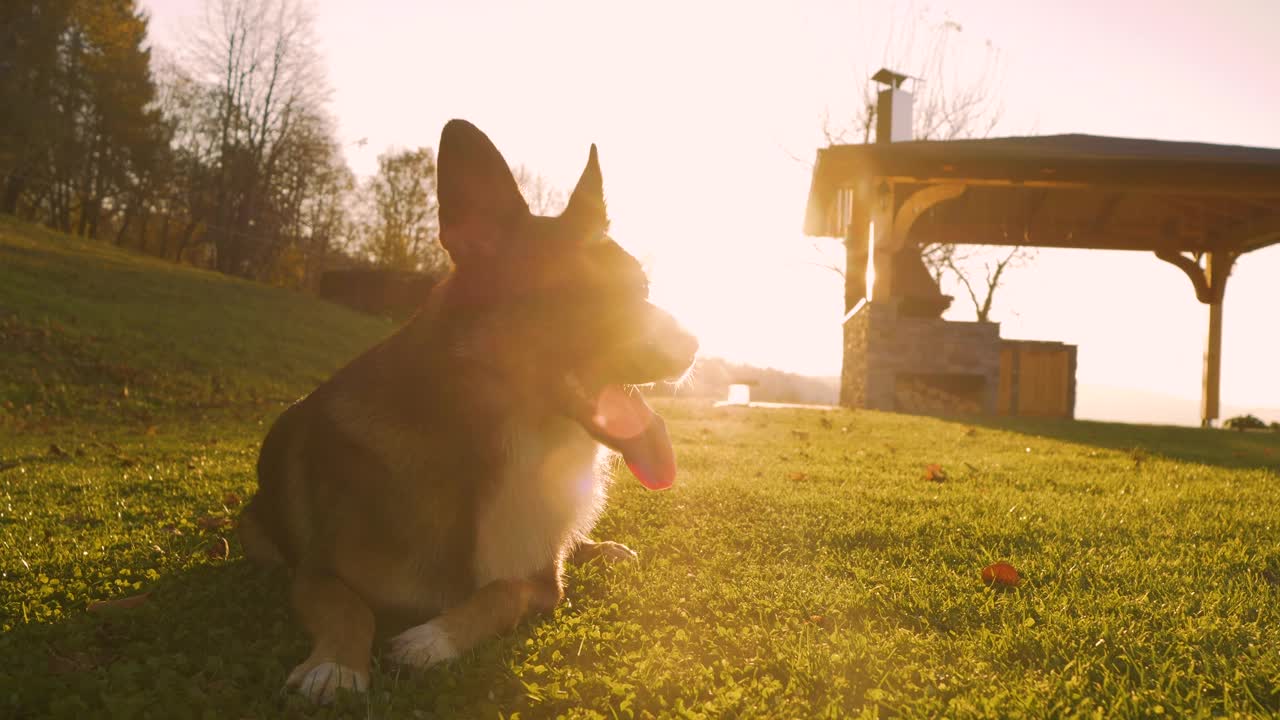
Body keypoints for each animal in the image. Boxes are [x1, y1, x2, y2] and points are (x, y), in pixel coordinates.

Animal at [240, 119, 701, 702]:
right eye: (578, 292)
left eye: (641, 288)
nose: (695, 346)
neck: (500, 440)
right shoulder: (315, 574)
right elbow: (349, 608)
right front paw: (337, 665)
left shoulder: (542, 585)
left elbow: (502, 591)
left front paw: (434, 638)